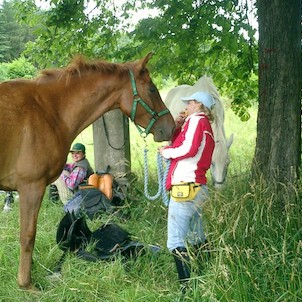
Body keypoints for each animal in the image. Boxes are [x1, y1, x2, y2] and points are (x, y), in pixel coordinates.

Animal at [0, 52, 175, 290]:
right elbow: (28, 236)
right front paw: (26, 284)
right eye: (152, 89)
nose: (171, 127)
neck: (47, 111)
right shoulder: (31, 187)